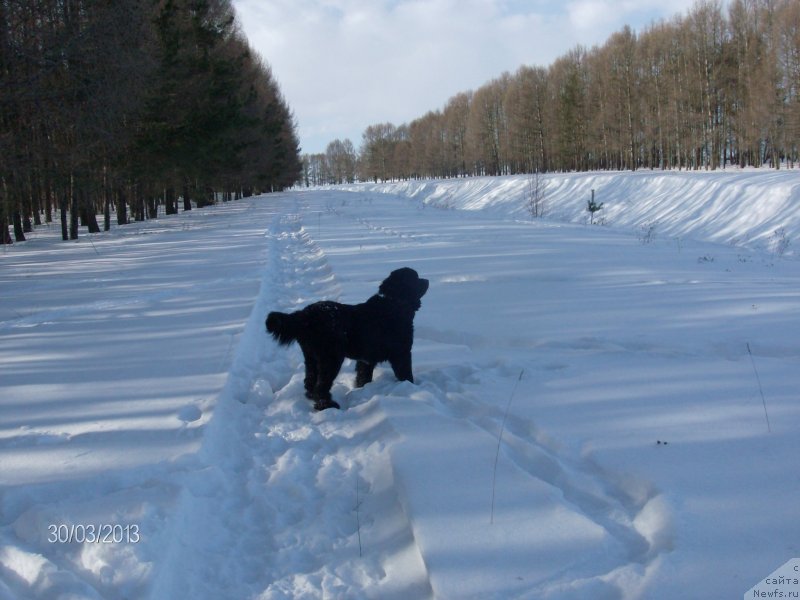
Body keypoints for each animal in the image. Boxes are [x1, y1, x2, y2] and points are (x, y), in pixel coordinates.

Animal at [266, 268, 428, 412]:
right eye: (415, 278)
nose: (426, 280)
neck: (395, 304)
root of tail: (306, 314)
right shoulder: (402, 353)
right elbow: (406, 375)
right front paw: (412, 388)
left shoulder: (366, 359)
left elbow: (363, 377)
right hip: (331, 358)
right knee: (321, 386)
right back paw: (327, 406)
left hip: (311, 358)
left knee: (309, 382)